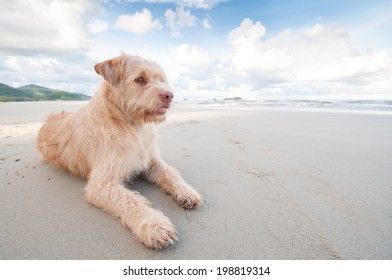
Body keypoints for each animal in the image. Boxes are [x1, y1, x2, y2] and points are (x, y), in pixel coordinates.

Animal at [36, 54, 202, 249]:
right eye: (140, 79)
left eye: (162, 80)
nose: (169, 95)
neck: (130, 124)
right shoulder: (101, 183)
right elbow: (130, 200)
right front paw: (153, 225)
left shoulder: (151, 162)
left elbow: (171, 173)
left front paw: (186, 191)